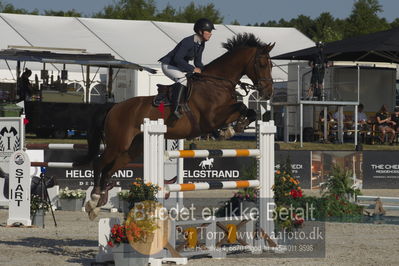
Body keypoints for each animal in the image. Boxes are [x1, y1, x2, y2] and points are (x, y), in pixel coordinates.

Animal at [82, 32, 274, 220]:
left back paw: (98, 205)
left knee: (109, 170)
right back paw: (94, 199)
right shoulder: (211, 117)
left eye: (271, 65)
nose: (267, 92)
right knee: (99, 163)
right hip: (118, 144)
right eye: (262, 64)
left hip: (132, 149)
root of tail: (114, 107)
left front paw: (234, 127)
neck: (218, 82)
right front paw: (232, 129)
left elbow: (249, 111)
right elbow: (241, 107)